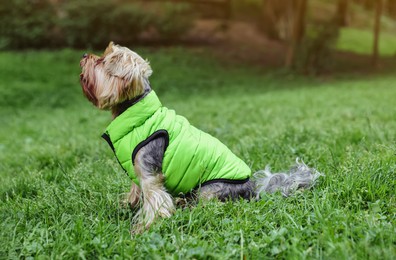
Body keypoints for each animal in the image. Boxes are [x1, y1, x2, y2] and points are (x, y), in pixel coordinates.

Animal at [78, 41, 322, 233]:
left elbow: (155, 201)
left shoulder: (150, 174)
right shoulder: (136, 169)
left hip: (210, 190)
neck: (136, 112)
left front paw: (143, 229)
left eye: (101, 61)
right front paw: (127, 206)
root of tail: (254, 189)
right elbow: (136, 192)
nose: (84, 55)